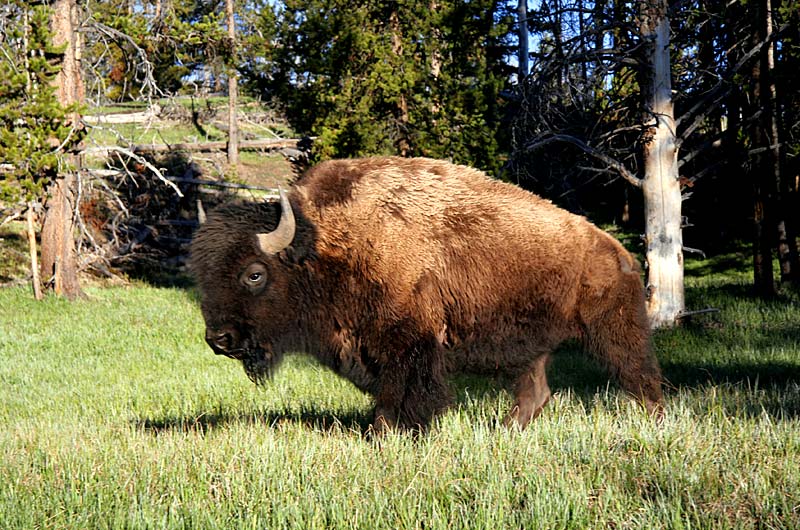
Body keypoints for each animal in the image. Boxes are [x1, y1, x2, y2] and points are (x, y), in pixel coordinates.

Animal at [191, 155, 664, 432]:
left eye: (254, 274)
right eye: (200, 274)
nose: (219, 339)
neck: (325, 243)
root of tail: (618, 251)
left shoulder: (408, 342)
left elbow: (404, 392)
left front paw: (388, 433)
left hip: (615, 330)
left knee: (640, 377)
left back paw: (654, 423)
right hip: (532, 348)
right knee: (536, 392)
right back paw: (505, 430)